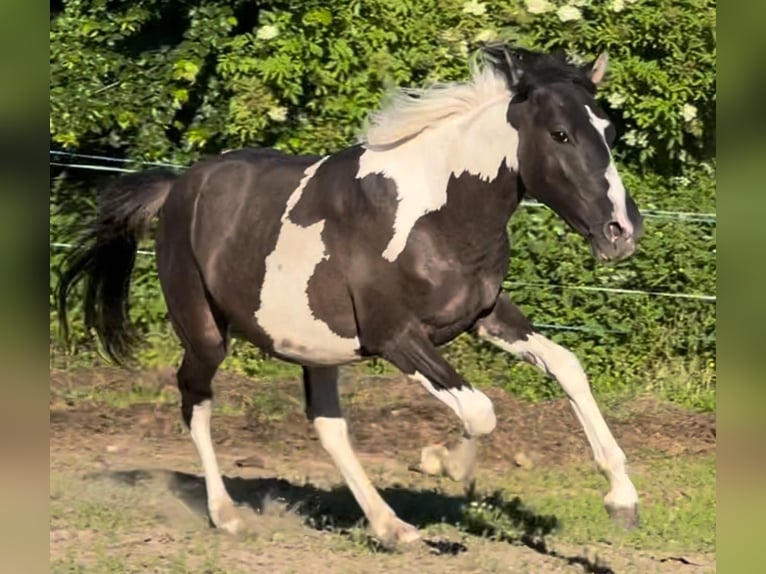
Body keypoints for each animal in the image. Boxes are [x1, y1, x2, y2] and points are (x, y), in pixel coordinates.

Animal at [57, 47, 648, 548]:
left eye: (609, 130)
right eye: (560, 134)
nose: (621, 231)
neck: (437, 214)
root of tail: (179, 187)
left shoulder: (485, 315)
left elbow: (567, 366)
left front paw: (622, 500)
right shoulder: (395, 336)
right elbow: (480, 410)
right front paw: (443, 464)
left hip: (315, 347)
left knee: (327, 426)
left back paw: (393, 528)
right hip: (205, 332)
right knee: (195, 399)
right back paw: (226, 516)